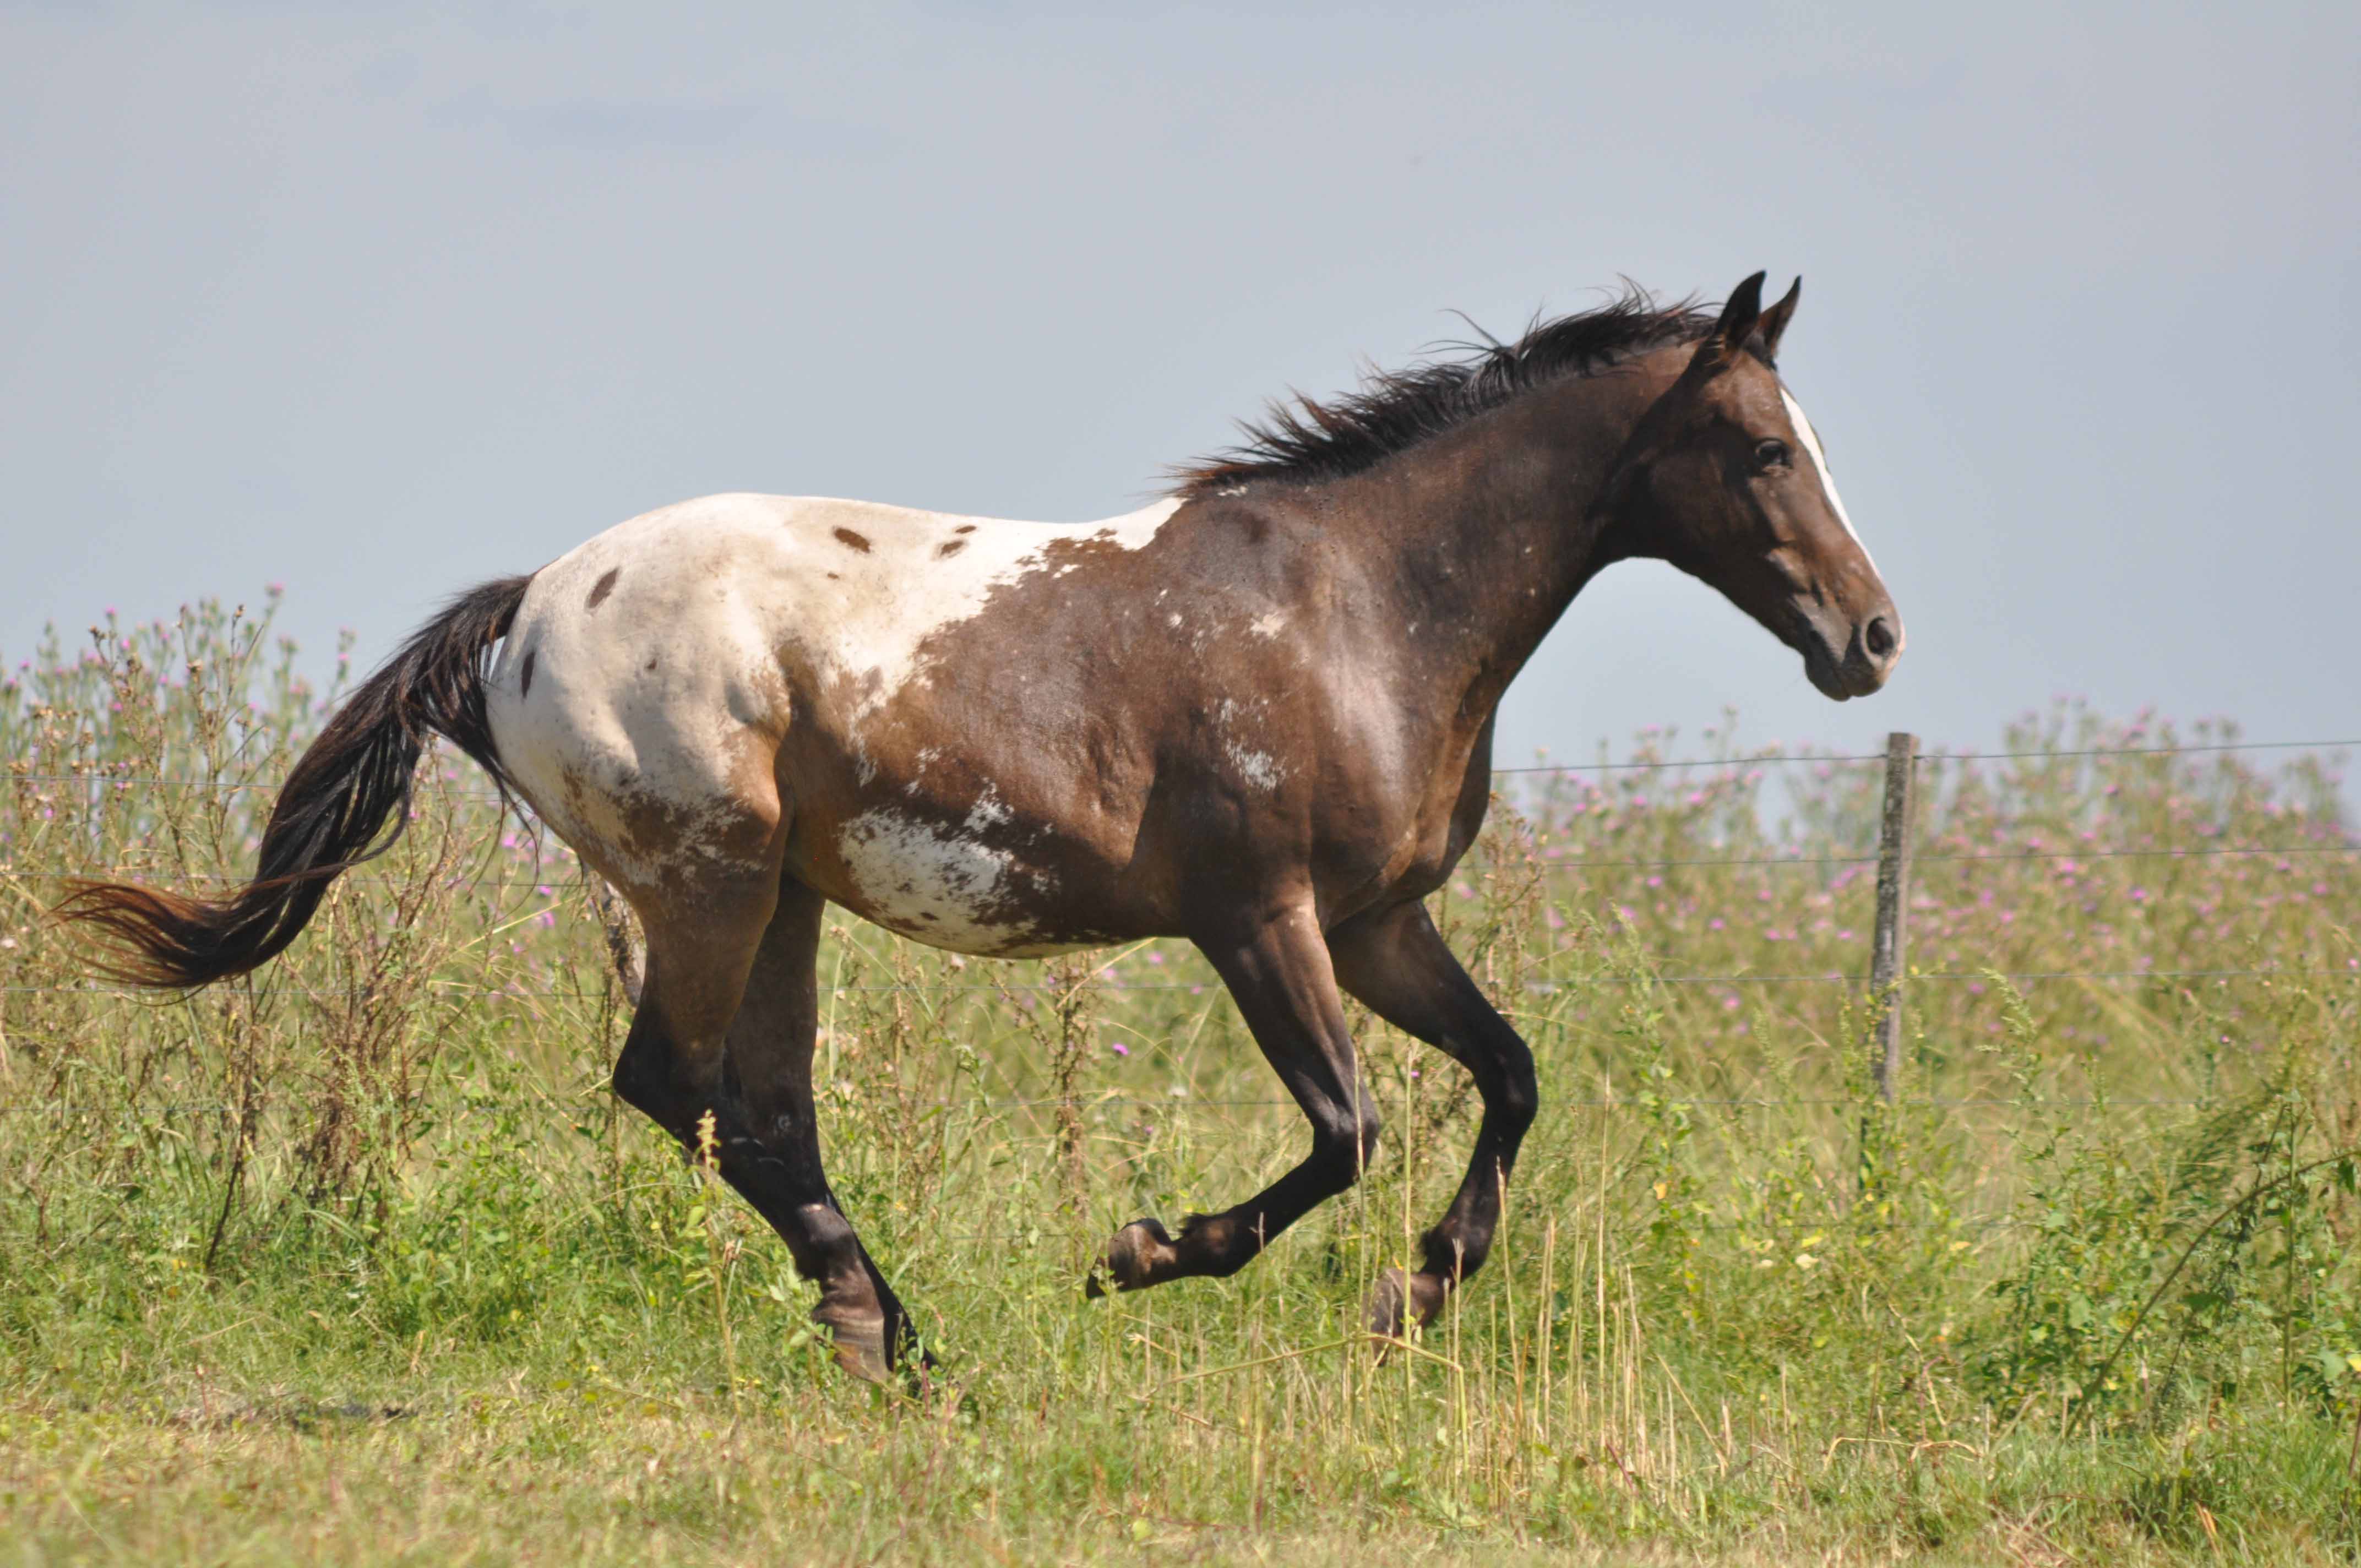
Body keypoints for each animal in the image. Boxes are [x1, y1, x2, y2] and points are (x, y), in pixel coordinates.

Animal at [55, 273, 1898, 1389]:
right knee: (681, 1091)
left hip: (783, 904)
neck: (1360, 612)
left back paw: (883, 1334)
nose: (1870, 639)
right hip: (707, 883)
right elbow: (1345, 1130)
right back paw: (896, 1336)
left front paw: (1413, 1298)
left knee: (758, 1106)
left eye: (1808, 443)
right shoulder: (1260, 917)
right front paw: (1140, 1256)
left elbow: (1507, 1076)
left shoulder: (1379, 922)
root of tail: (528, 604)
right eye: (1757, 451)